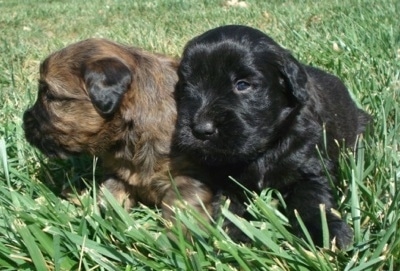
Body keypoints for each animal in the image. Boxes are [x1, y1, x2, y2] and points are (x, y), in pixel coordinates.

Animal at [23, 38, 212, 224]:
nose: (25, 121)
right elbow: (111, 199)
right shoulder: (117, 174)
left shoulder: (191, 174)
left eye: (50, 95)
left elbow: (179, 205)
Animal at [175, 25, 372, 249]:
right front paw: (231, 237)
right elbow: (227, 206)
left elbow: (311, 201)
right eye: (187, 86)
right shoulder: (228, 181)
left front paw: (325, 231)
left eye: (242, 84)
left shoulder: (311, 169)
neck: (263, 150)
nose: (201, 129)